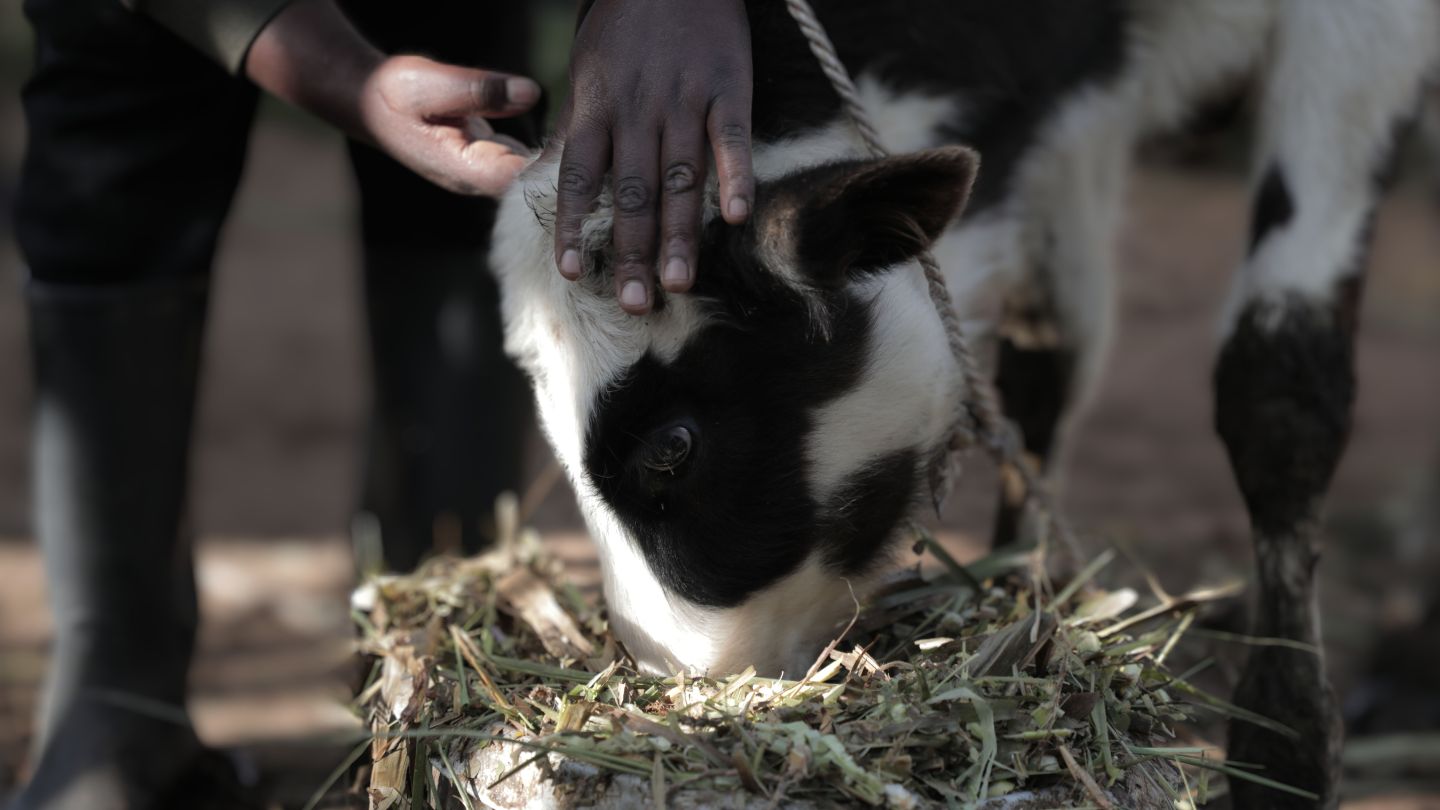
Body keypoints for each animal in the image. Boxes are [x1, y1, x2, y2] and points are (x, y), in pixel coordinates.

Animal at [489, 1, 1434, 801]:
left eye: (672, 447)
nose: (678, 689)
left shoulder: (1365, 31)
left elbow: (1278, 384)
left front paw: (1284, 753)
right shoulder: (1074, 102)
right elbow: (1049, 362)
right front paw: (1029, 603)